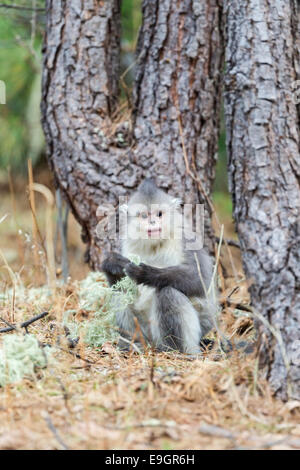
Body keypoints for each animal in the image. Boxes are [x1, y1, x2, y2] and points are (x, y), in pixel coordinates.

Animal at [101, 178, 218, 354]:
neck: (155, 245)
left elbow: (202, 280)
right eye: (144, 215)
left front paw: (145, 273)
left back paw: (175, 350)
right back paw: (132, 344)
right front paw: (112, 263)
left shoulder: (187, 239)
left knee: (167, 292)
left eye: (159, 214)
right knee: (120, 291)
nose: (152, 222)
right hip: (143, 328)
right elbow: (119, 280)